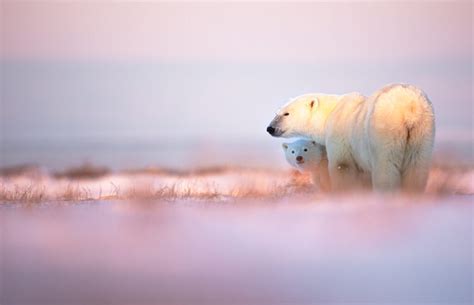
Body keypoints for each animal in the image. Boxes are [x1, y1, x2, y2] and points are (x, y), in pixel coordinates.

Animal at [264, 83, 436, 191]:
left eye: (286, 113)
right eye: (277, 112)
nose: (270, 128)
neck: (329, 113)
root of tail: (409, 108)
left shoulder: (339, 134)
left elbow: (342, 166)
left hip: (384, 128)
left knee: (385, 165)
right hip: (423, 129)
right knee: (417, 165)